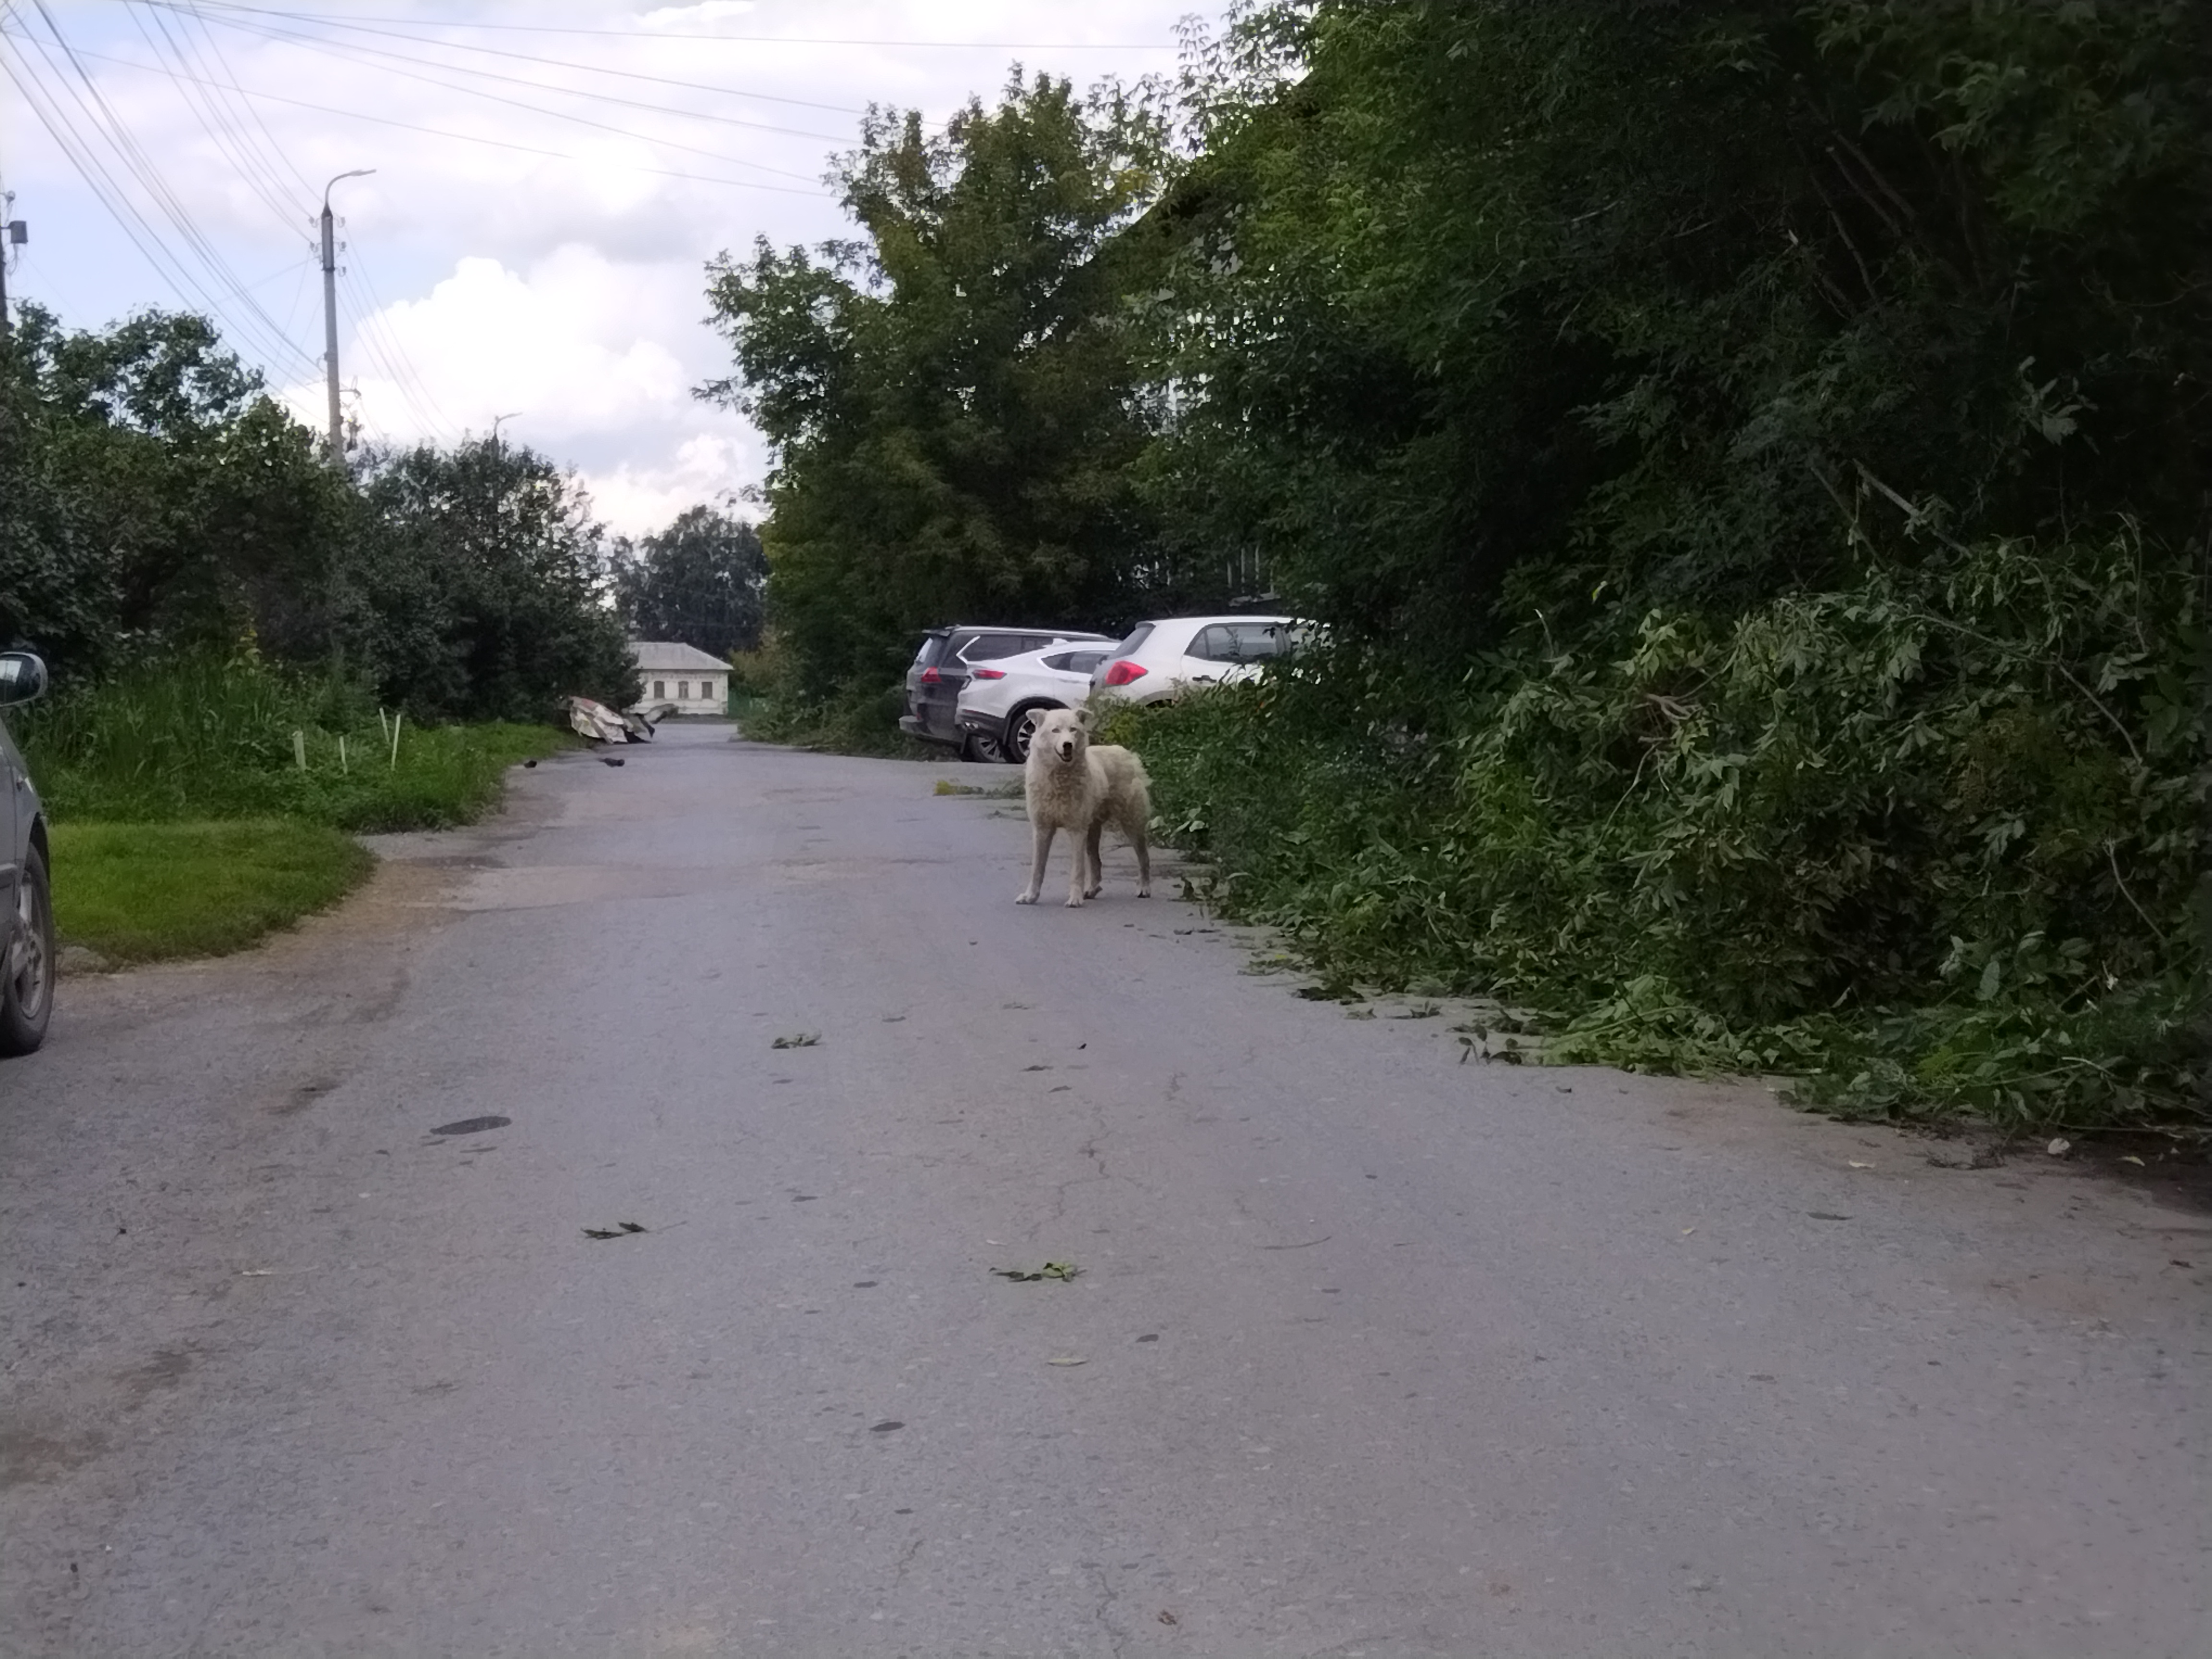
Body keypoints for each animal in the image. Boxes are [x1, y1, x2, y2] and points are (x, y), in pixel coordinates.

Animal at [1017, 703, 1159, 911]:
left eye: (1073, 730)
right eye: (1056, 731)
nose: (1068, 745)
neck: (1059, 777)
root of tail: (1125, 752)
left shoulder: (1077, 831)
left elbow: (1077, 870)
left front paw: (1074, 899)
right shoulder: (1042, 830)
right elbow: (1037, 869)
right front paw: (1030, 897)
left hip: (1131, 825)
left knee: (1144, 858)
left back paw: (1144, 888)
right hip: (1092, 832)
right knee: (1097, 863)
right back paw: (1092, 890)